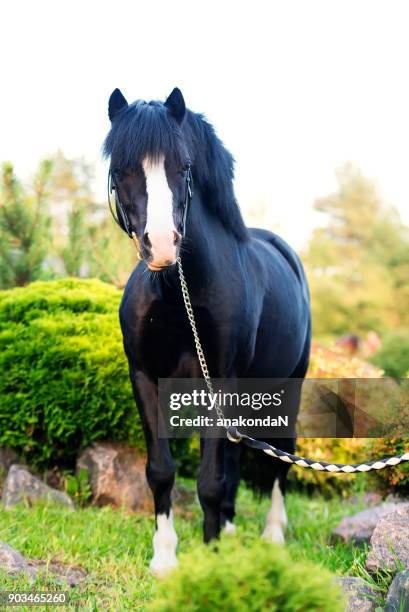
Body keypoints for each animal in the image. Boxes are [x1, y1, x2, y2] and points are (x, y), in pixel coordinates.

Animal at [102, 86, 310, 572]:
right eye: (121, 168)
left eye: (184, 167)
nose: (161, 246)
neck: (179, 294)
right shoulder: (146, 377)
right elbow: (162, 471)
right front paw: (165, 560)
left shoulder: (220, 380)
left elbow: (210, 481)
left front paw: (211, 562)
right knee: (235, 454)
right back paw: (232, 532)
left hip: (287, 385)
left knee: (280, 456)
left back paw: (273, 534)